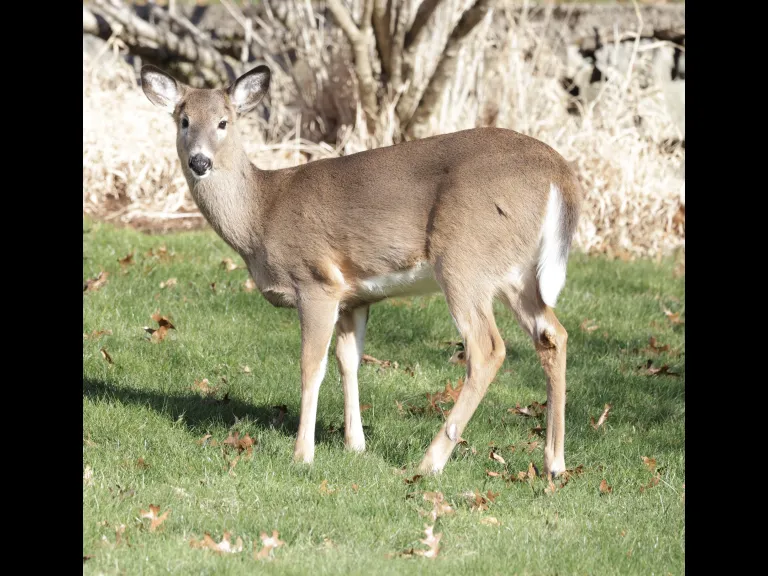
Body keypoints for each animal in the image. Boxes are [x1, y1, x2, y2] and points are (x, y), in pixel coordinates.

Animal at [140, 63, 582, 477]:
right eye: (183, 120)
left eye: (223, 122)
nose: (200, 161)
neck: (261, 214)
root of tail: (559, 172)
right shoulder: (354, 296)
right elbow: (348, 360)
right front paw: (356, 444)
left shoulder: (316, 280)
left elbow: (311, 365)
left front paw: (303, 455)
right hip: (514, 272)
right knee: (552, 334)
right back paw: (554, 463)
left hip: (464, 258)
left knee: (488, 348)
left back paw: (430, 461)